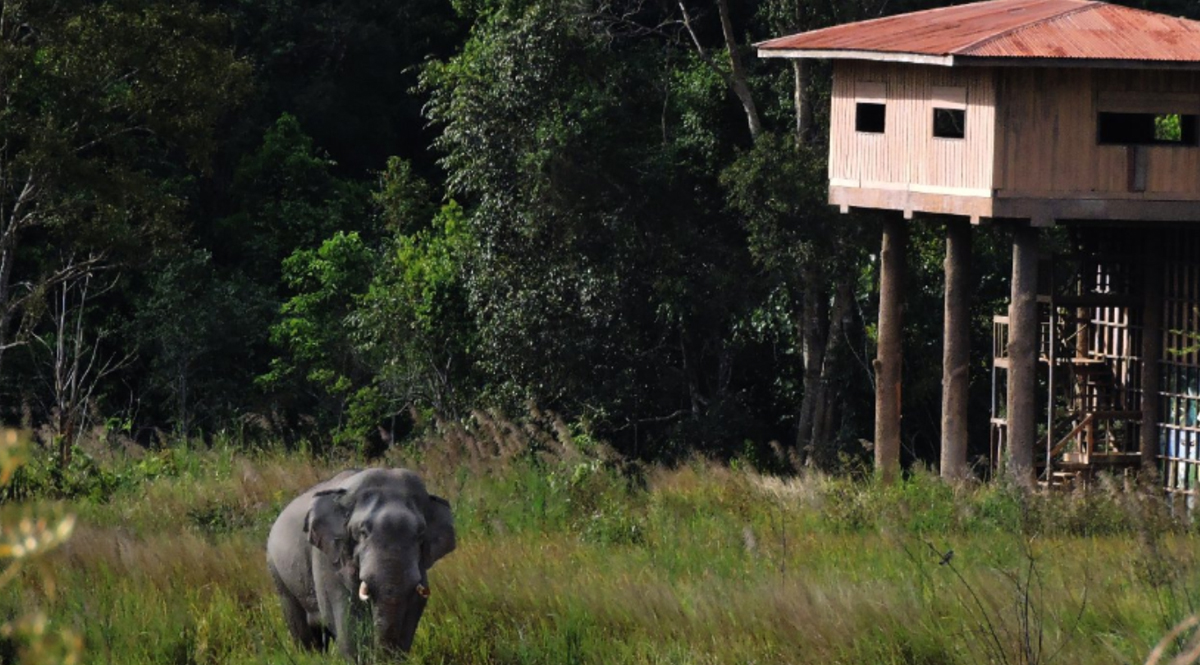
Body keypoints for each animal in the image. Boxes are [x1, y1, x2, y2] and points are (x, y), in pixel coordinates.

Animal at [266, 465, 453, 657]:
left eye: (420, 535)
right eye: (363, 532)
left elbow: (415, 606)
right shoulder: (327, 556)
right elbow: (343, 611)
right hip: (277, 572)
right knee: (302, 629)